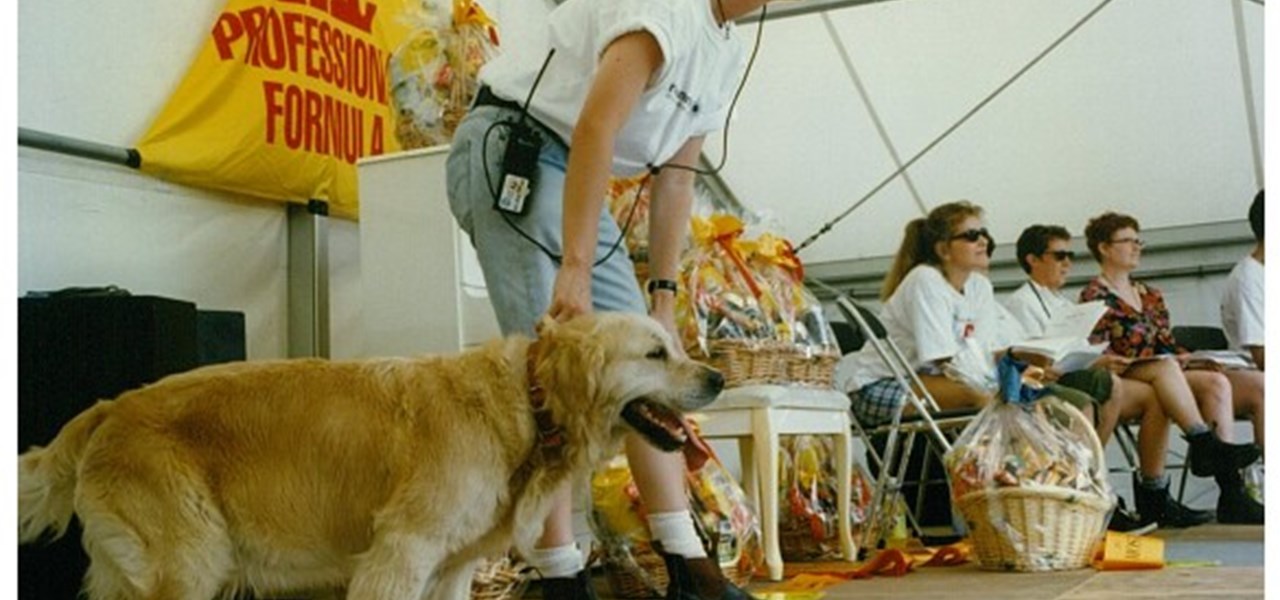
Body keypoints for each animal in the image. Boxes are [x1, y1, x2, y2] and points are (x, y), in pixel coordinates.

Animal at [20, 313, 727, 598]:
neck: (527, 403)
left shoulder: (451, 571)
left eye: (676, 346)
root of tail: (110, 406)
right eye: (656, 353)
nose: (719, 377)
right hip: (191, 561)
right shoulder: (401, 551)